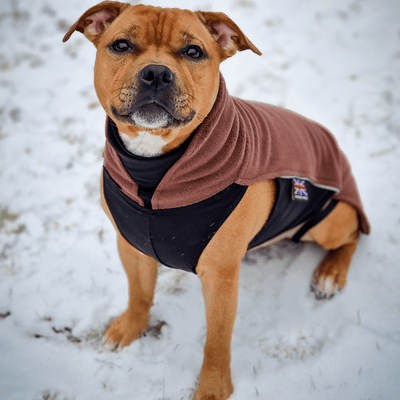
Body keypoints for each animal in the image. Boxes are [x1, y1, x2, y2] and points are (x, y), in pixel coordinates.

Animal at [64, 1, 370, 398]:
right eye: (121, 45)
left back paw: (331, 273)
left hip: (327, 222)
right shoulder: (131, 244)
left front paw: (212, 385)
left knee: (353, 233)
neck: (153, 168)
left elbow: (217, 340)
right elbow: (139, 292)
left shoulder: (221, 279)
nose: (156, 74)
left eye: (194, 52)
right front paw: (131, 327)